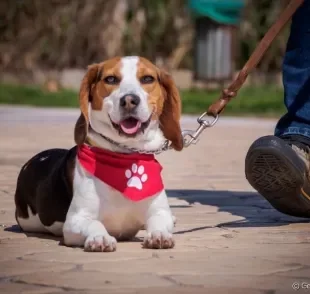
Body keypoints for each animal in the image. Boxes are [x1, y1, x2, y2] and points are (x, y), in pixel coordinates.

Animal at [14, 56, 183, 252]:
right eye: (110, 79)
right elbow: (94, 223)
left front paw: (159, 234)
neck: (126, 156)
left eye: (148, 79)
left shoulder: (159, 212)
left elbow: (159, 221)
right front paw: (99, 237)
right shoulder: (75, 220)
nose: (129, 100)